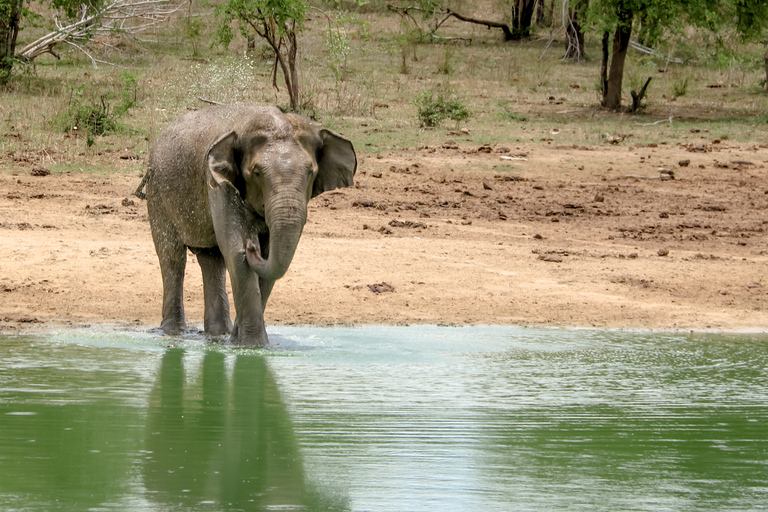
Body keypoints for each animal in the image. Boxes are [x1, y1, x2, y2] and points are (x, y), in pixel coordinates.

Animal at [144, 104, 356, 346]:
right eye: (256, 173)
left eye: (311, 172)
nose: (252, 245)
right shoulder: (218, 182)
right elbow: (236, 253)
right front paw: (253, 346)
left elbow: (266, 258)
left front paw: (242, 342)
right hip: (157, 191)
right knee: (172, 257)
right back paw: (174, 333)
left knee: (212, 259)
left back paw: (218, 335)